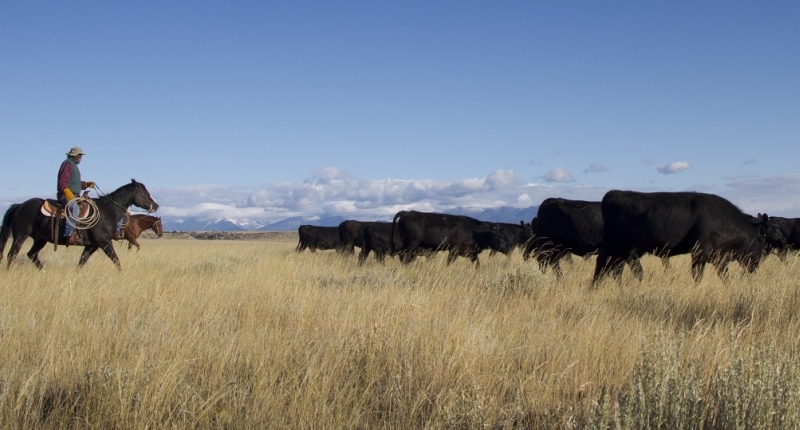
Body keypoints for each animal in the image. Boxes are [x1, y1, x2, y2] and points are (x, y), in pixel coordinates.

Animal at [520, 197, 648, 278]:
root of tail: (548, 201)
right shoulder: (627, 255)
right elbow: (628, 272)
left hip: (559, 248)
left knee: (552, 262)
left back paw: (561, 279)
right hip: (549, 245)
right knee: (543, 260)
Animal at [592, 190, 788, 284]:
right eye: (762, 240)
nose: (756, 266)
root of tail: (613, 193)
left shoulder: (719, 258)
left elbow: (724, 276)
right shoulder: (700, 253)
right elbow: (697, 275)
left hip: (624, 250)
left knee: (616, 269)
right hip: (613, 245)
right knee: (602, 266)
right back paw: (594, 288)